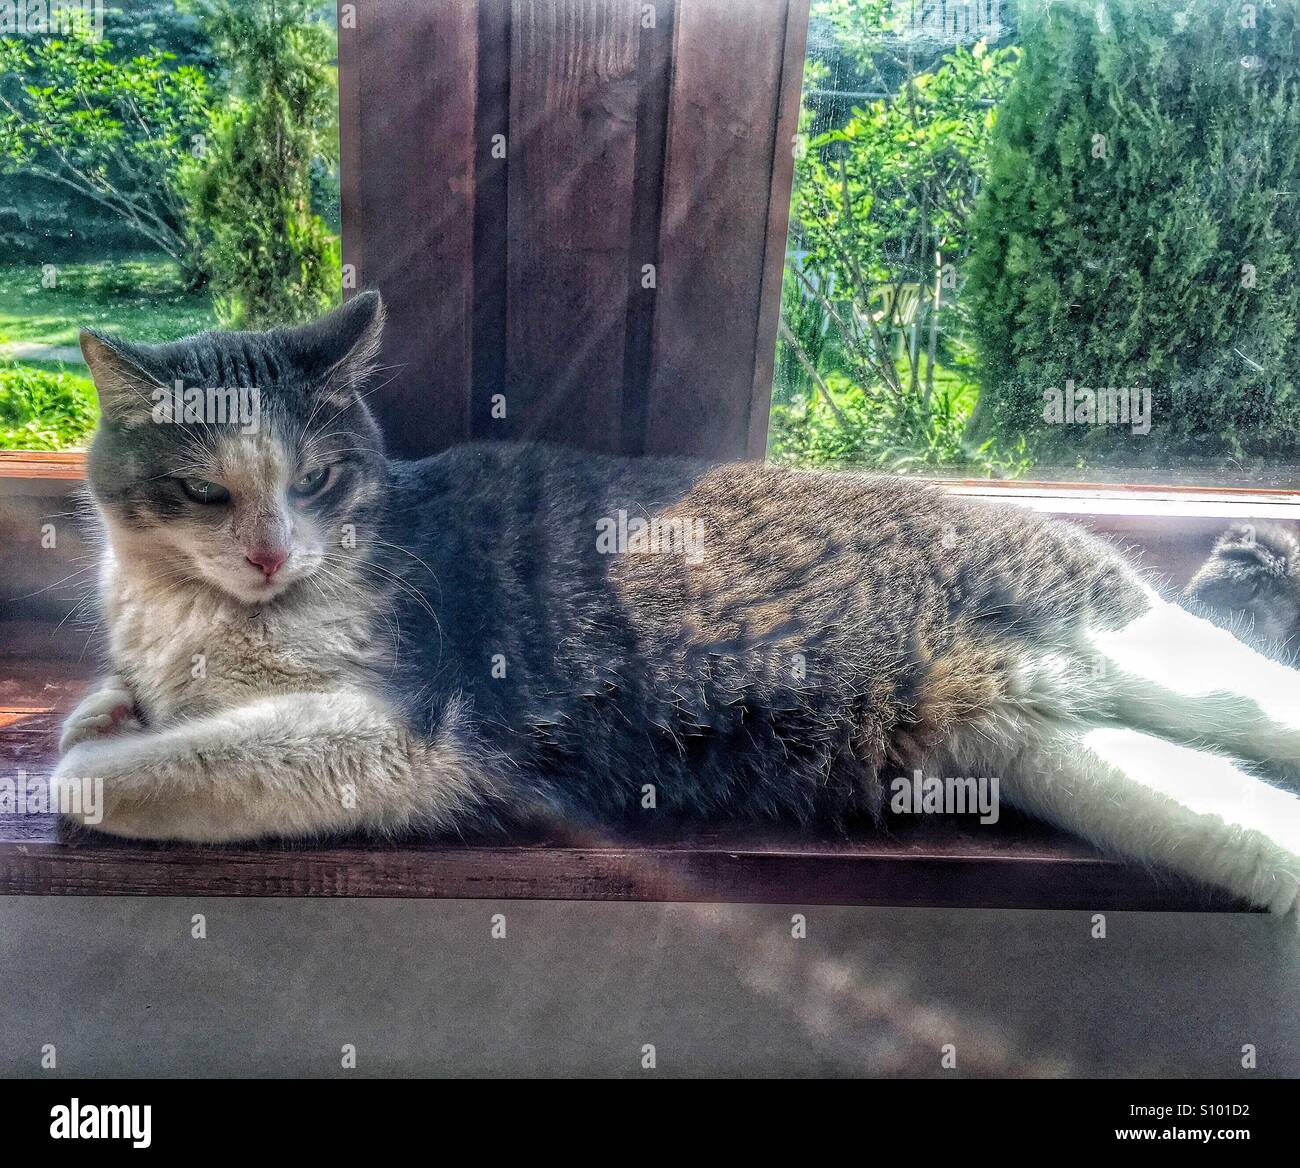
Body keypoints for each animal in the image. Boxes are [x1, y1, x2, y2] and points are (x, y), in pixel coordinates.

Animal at [53, 291, 1300, 920]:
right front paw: (105, 703)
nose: (270, 555)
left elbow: (113, 775)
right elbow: (123, 703)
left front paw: (85, 752)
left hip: (1145, 651)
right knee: (1247, 818)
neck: (194, 615)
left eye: (314, 479)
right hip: (1082, 762)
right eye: (204, 492)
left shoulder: (409, 731)